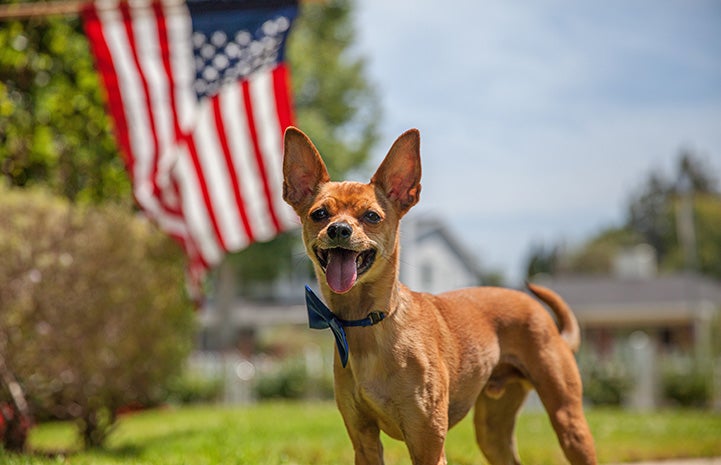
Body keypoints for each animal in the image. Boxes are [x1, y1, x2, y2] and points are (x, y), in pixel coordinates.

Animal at [282, 127, 596, 464]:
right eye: (319, 213)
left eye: (372, 216)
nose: (338, 229)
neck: (367, 324)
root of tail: (541, 314)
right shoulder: (364, 443)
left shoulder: (428, 446)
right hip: (492, 433)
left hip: (568, 421)